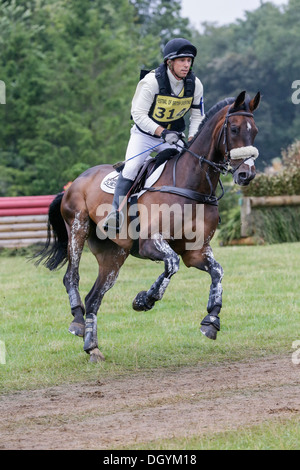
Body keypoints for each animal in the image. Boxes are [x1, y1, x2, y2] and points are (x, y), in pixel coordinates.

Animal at [33, 90, 260, 362]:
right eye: (234, 129)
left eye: (255, 131)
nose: (247, 175)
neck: (192, 184)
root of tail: (75, 182)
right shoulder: (151, 243)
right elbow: (171, 264)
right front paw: (144, 300)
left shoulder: (195, 251)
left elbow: (217, 272)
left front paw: (211, 321)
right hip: (78, 228)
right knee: (71, 277)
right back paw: (77, 321)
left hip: (113, 255)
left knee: (95, 297)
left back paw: (92, 347)